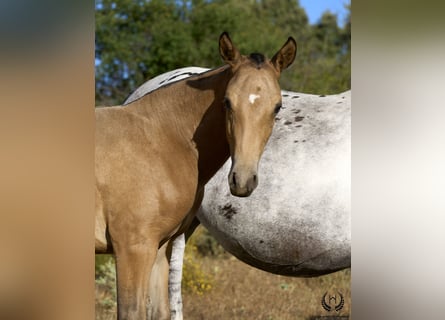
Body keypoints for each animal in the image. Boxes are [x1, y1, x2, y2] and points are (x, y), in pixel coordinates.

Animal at [94, 33, 294, 320]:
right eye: (227, 102)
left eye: (277, 107)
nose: (242, 180)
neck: (160, 139)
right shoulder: (133, 248)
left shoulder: (160, 248)